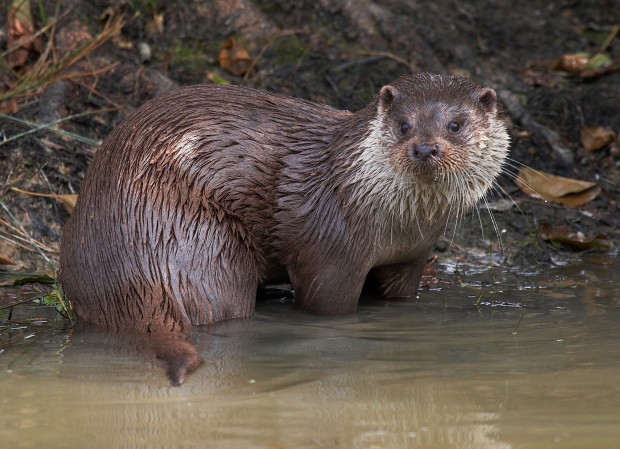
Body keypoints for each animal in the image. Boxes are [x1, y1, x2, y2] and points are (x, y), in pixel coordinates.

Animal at [60, 73, 512, 384]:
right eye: (404, 125)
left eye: (455, 125)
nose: (425, 147)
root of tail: (129, 271)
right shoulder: (331, 249)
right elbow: (326, 305)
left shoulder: (411, 259)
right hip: (202, 241)